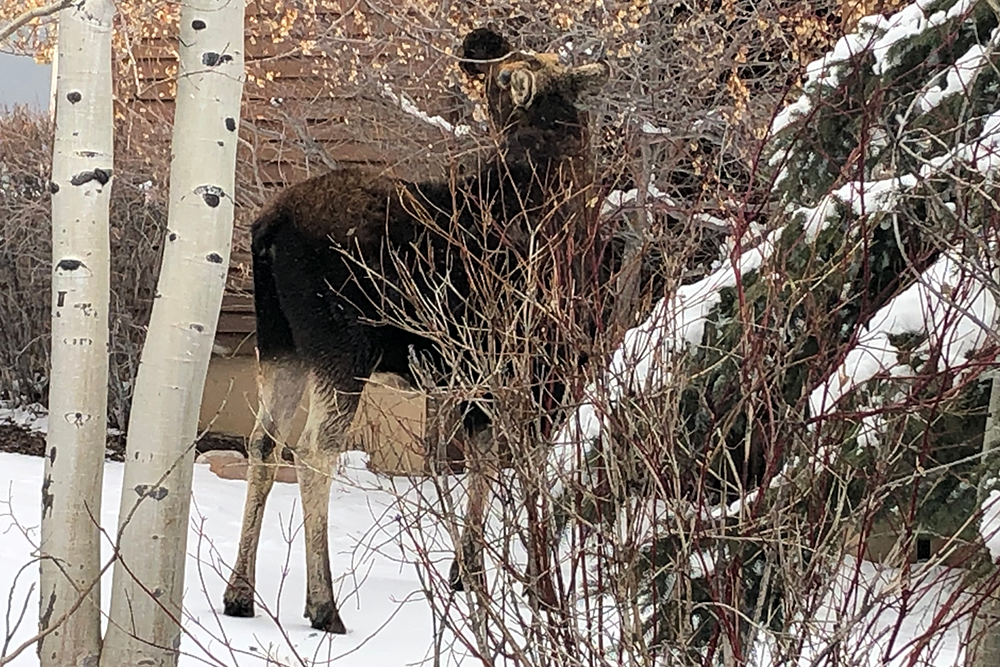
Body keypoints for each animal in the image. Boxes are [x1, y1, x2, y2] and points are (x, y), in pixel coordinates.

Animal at [225, 26, 608, 636]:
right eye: (509, 70)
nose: (480, 43)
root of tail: (269, 228)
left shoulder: (479, 381)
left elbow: (480, 461)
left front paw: (468, 574)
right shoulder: (535, 373)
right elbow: (527, 471)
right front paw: (544, 592)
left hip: (280, 344)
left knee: (263, 442)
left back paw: (239, 593)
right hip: (342, 350)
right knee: (313, 452)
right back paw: (323, 604)